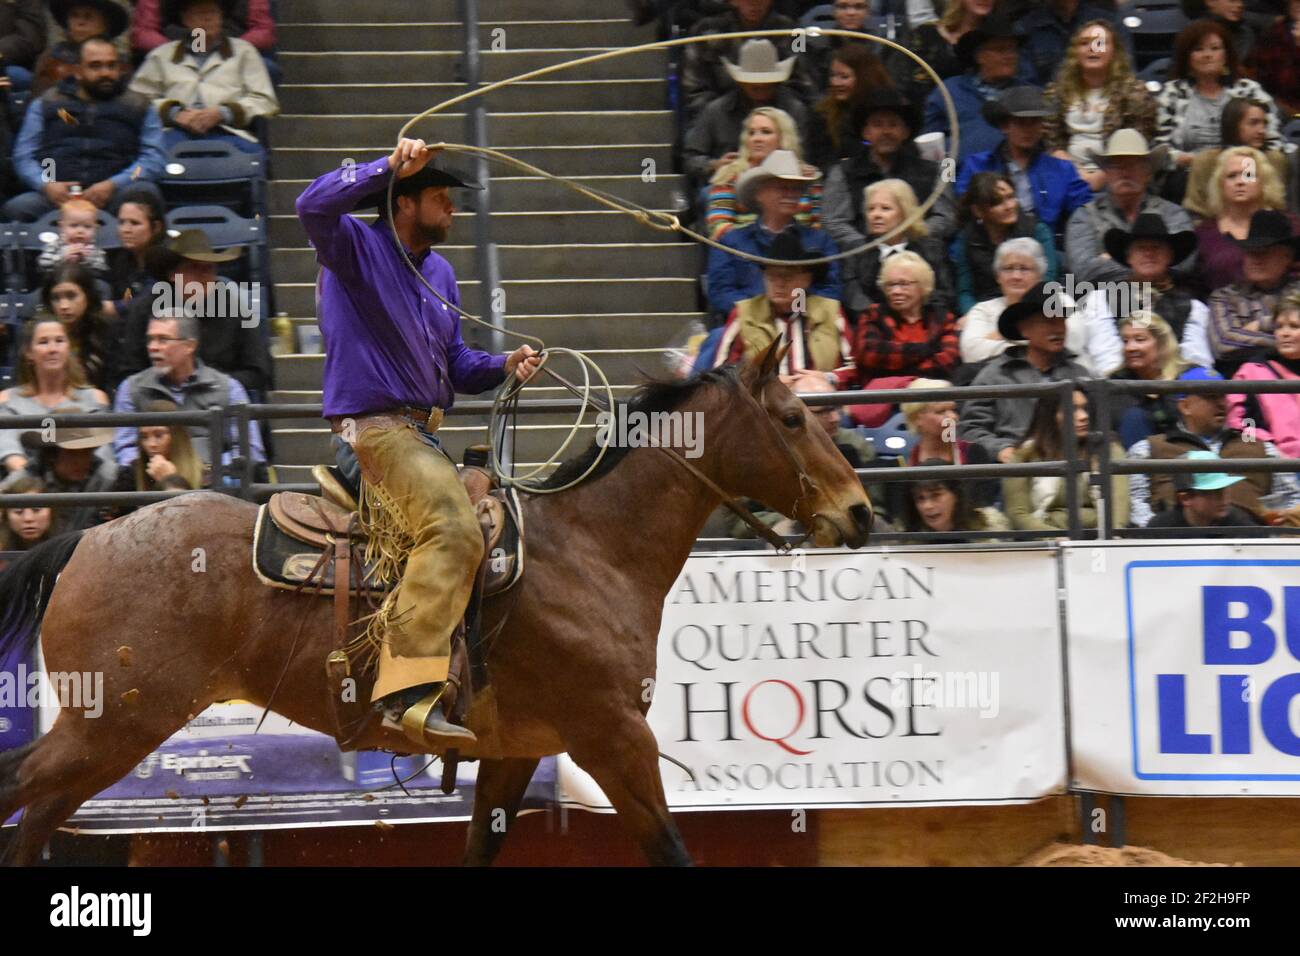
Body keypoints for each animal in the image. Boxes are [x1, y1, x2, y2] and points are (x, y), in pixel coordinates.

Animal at [2, 343, 873, 868]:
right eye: (793, 418)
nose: (861, 512)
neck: (591, 547)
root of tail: (88, 539)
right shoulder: (615, 738)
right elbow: (670, 849)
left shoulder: (518, 751)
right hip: (111, 726)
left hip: (107, 737)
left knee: (34, 816)